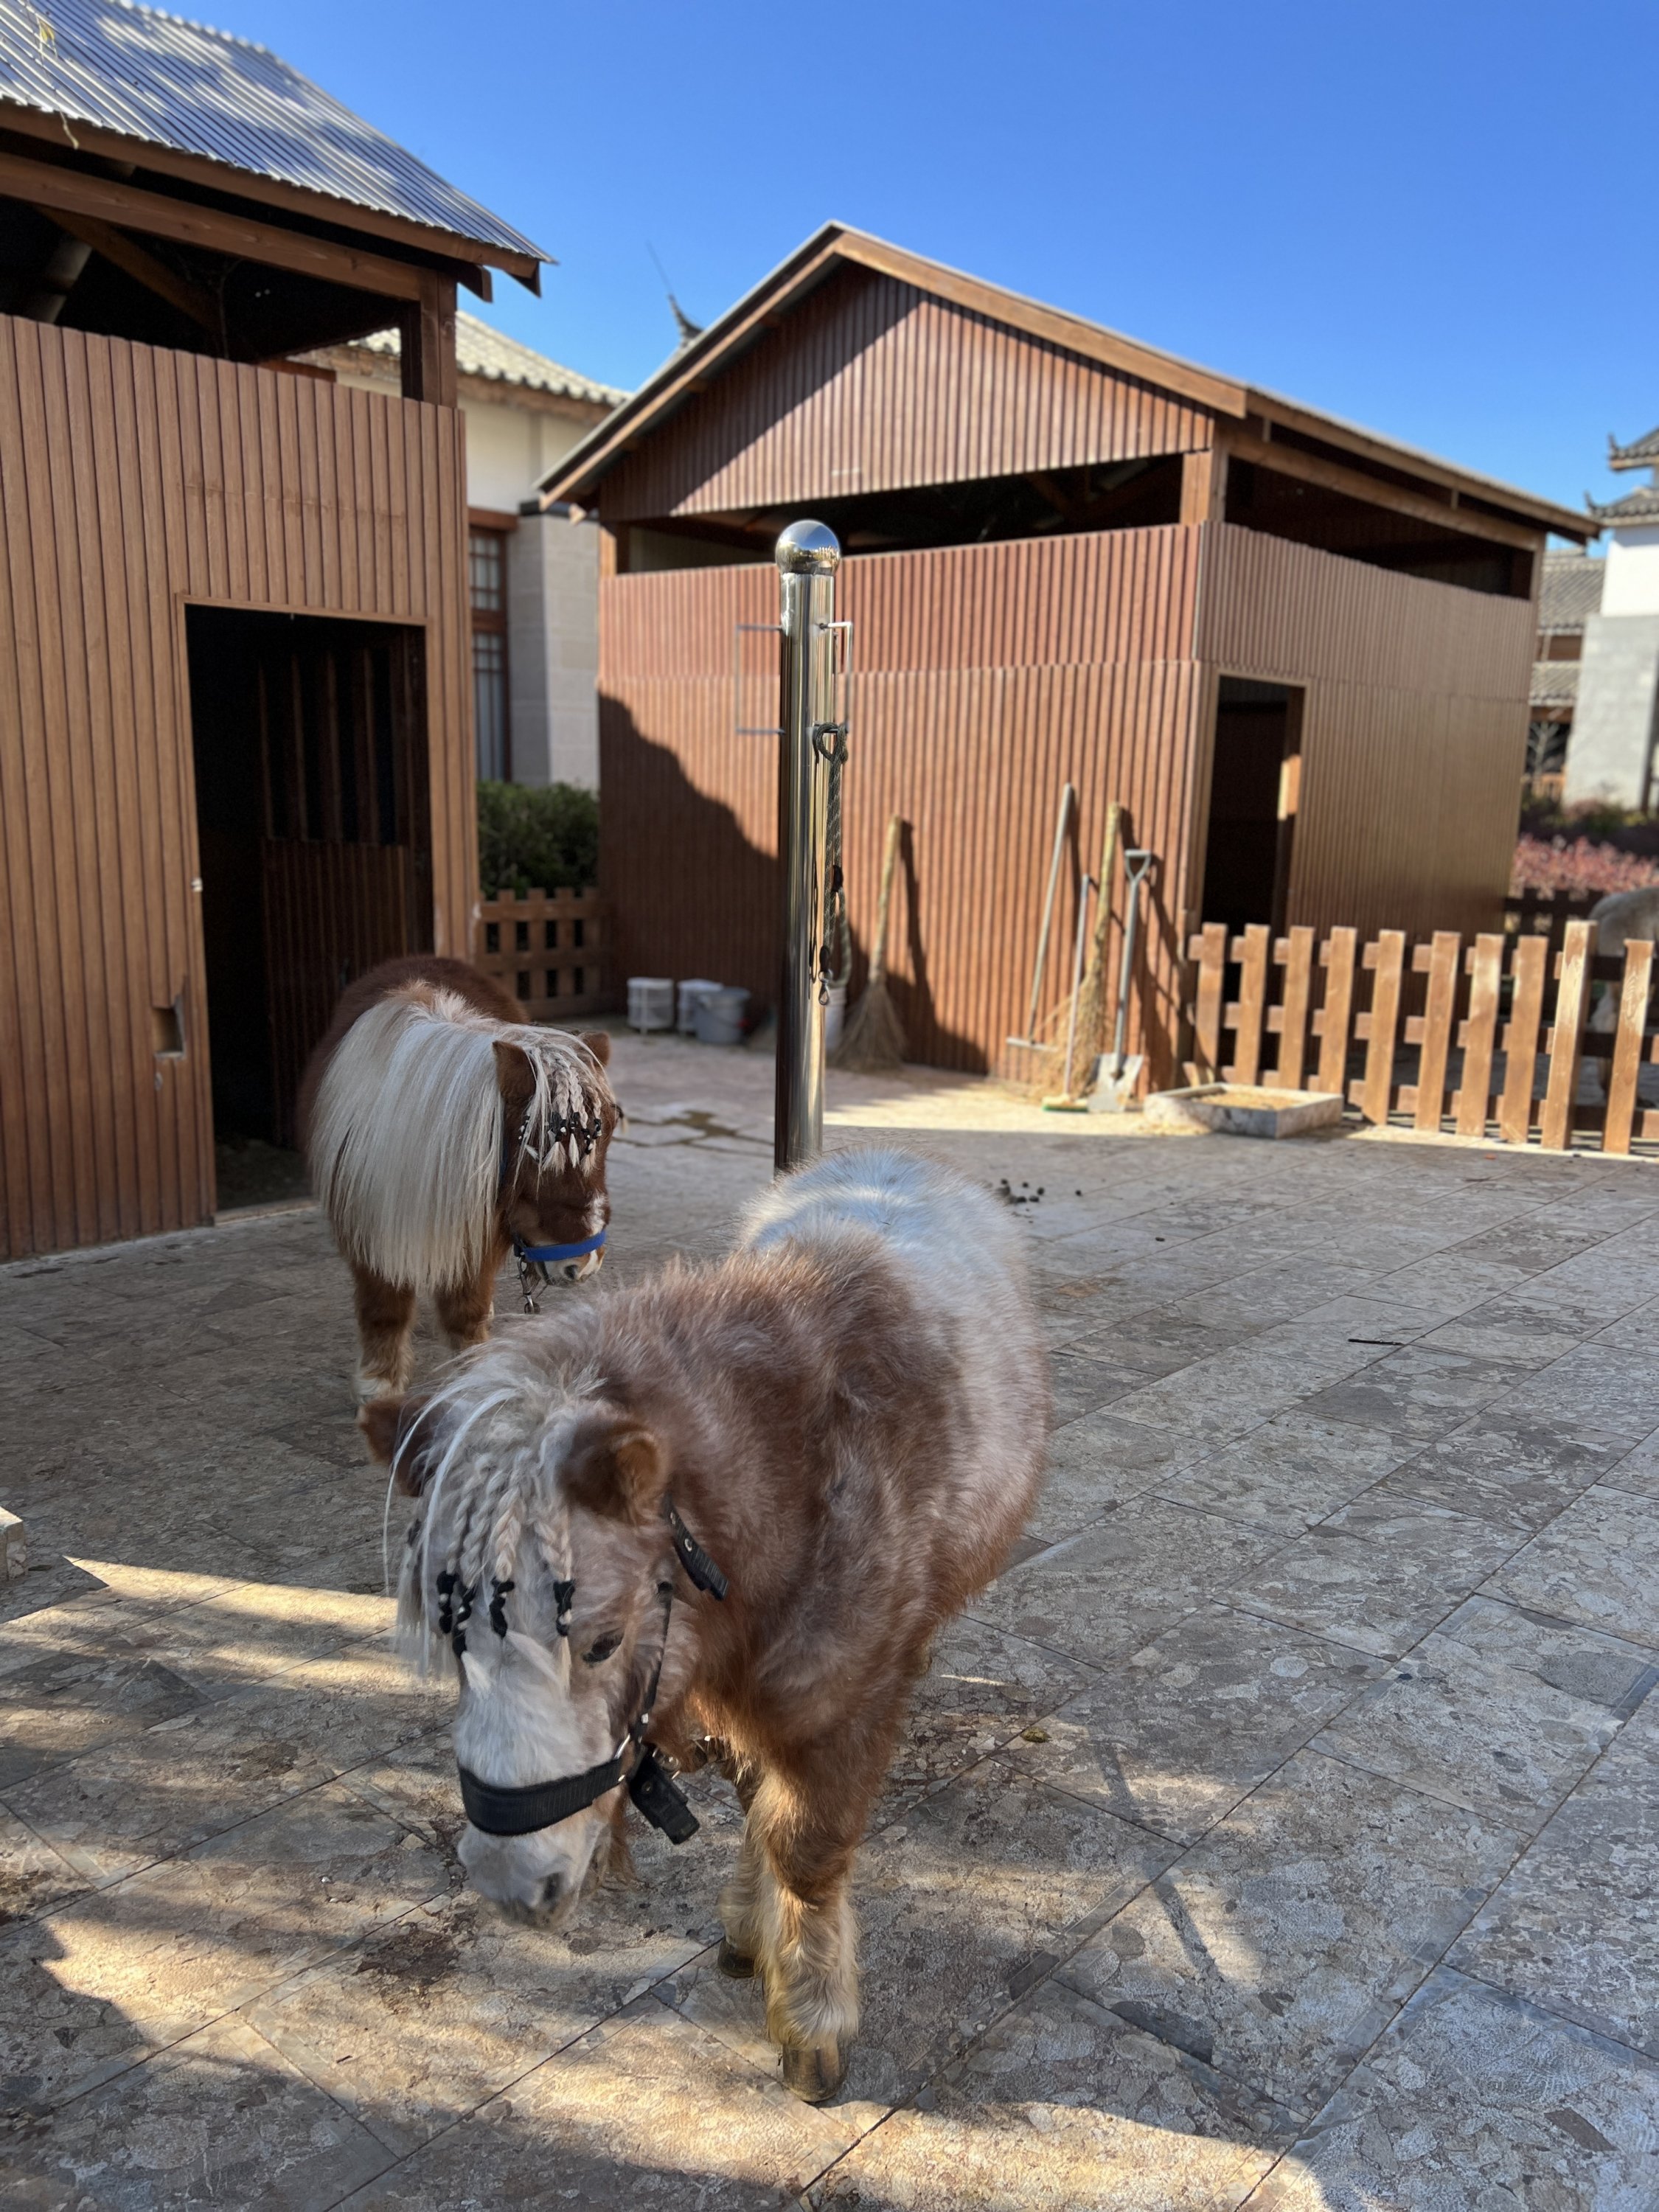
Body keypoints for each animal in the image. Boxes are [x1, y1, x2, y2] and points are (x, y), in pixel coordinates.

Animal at [303, 951, 619, 1398]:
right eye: (534, 1149)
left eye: (606, 1137)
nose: (582, 1264)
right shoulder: (368, 1228)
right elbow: (384, 1308)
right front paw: (379, 1386)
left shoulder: (480, 1228)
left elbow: (466, 1311)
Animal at [363, 1150, 1044, 2097]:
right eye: (455, 1640)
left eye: (602, 1641)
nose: (510, 1882)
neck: (805, 1469)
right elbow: (759, 1807)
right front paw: (752, 1935)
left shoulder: (842, 1703)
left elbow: (805, 1845)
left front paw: (811, 2015)